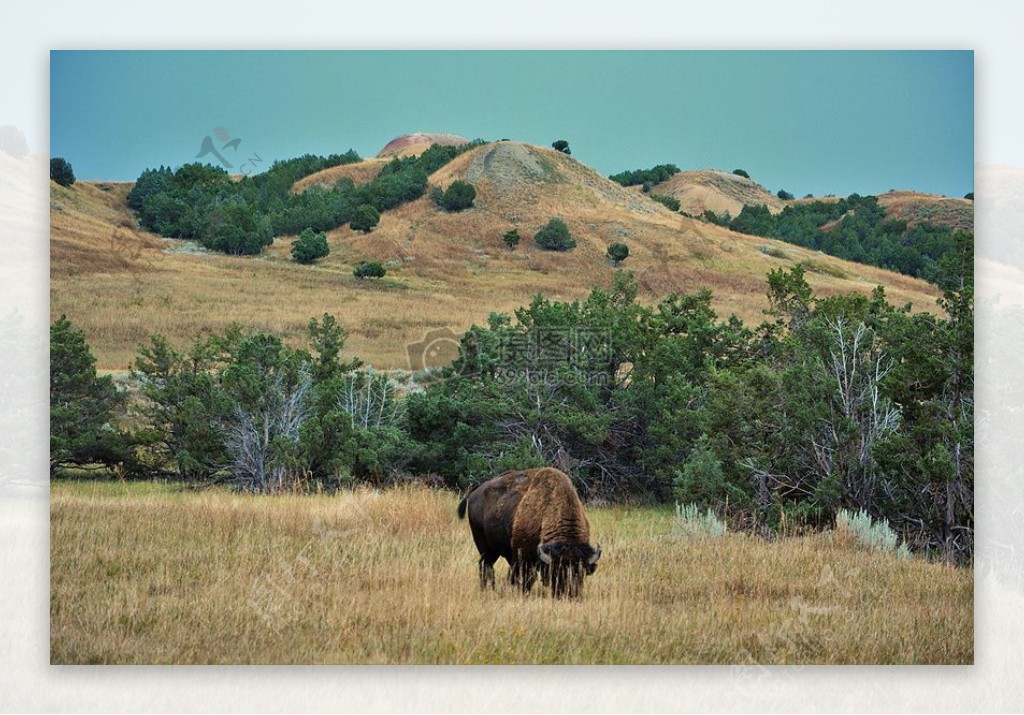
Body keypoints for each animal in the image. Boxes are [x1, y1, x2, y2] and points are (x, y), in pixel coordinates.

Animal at [458, 465, 598, 598]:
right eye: (556, 571)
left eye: (582, 572)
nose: (570, 594)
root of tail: (477, 490)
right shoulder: (523, 558)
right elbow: (523, 579)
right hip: (484, 546)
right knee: (485, 565)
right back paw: (486, 589)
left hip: (494, 551)